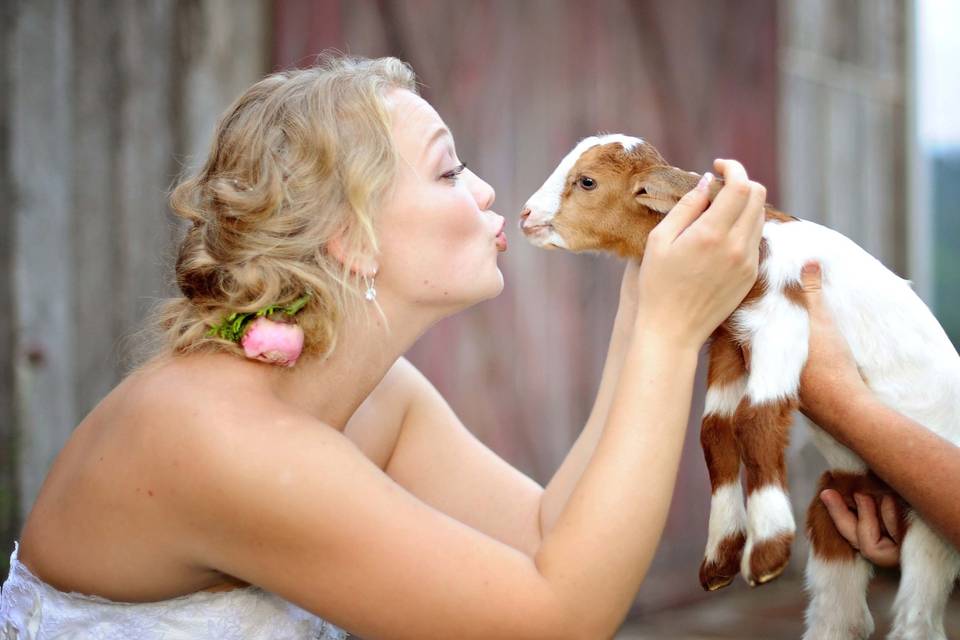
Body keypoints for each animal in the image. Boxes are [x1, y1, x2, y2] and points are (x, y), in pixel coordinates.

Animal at [520, 135, 960, 640]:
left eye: (587, 182)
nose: (525, 216)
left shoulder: (782, 320)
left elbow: (756, 419)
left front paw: (767, 550)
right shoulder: (731, 342)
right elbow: (714, 431)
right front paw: (720, 556)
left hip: (929, 527)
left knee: (917, 619)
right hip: (835, 508)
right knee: (842, 616)